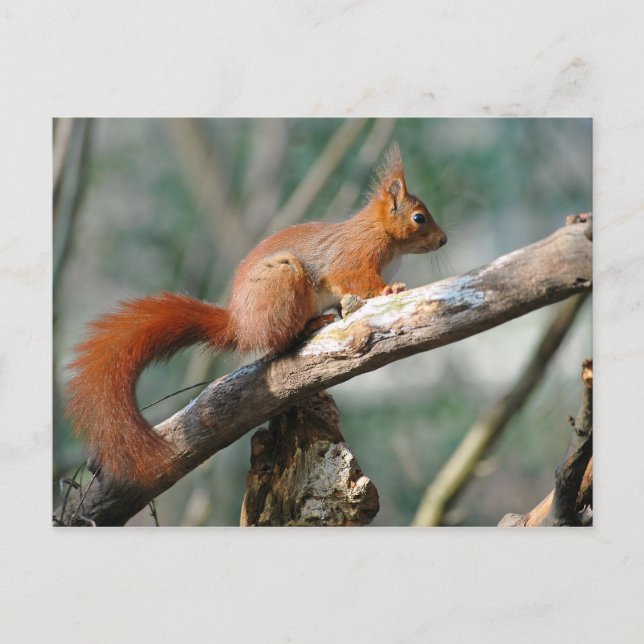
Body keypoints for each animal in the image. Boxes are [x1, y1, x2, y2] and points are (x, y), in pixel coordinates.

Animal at [65, 143, 447, 487]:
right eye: (419, 218)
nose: (444, 240)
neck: (382, 234)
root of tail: (241, 326)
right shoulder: (354, 258)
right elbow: (358, 281)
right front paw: (389, 290)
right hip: (285, 281)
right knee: (279, 341)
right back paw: (312, 324)